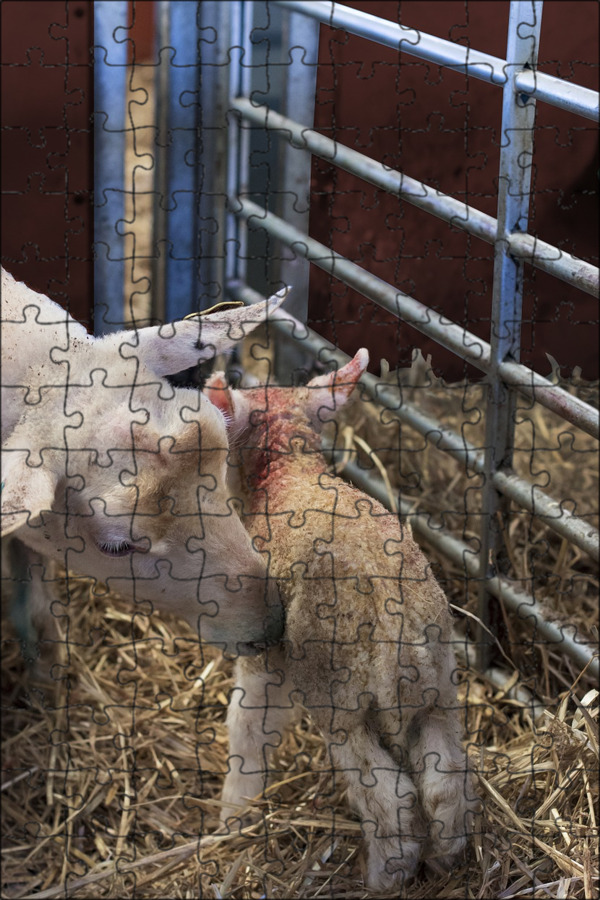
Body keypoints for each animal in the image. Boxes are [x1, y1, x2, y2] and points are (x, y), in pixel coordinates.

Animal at [207, 348, 478, 888]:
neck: (288, 477)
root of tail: (397, 631)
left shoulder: (266, 651)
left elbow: (247, 724)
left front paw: (234, 815)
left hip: (340, 698)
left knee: (391, 799)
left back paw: (381, 878)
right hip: (437, 688)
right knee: (443, 784)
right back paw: (445, 860)